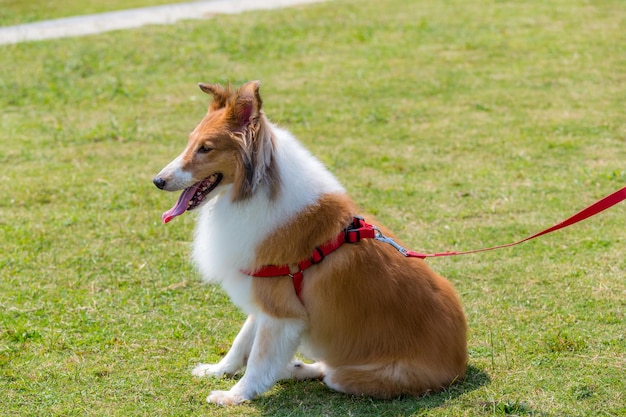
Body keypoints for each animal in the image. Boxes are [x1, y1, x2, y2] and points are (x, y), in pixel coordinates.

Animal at [151, 79, 464, 404]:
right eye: (191, 142)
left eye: (205, 148)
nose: (158, 181)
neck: (256, 191)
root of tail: (460, 362)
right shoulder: (264, 295)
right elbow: (242, 339)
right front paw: (218, 370)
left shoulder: (281, 311)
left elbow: (258, 360)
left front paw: (234, 396)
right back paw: (296, 369)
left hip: (361, 377)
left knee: (332, 374)